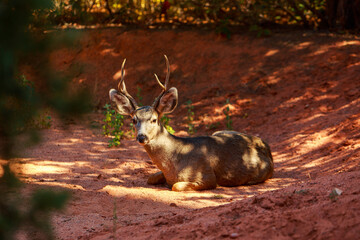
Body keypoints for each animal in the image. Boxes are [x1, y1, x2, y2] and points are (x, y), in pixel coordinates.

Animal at [109, 55, 272, 191]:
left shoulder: (207, 176)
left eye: (154, 119)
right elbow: (151, 177)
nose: (141, 137)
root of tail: (267, 147)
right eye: (134, 120)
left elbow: (176, 186)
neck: (175, 161)